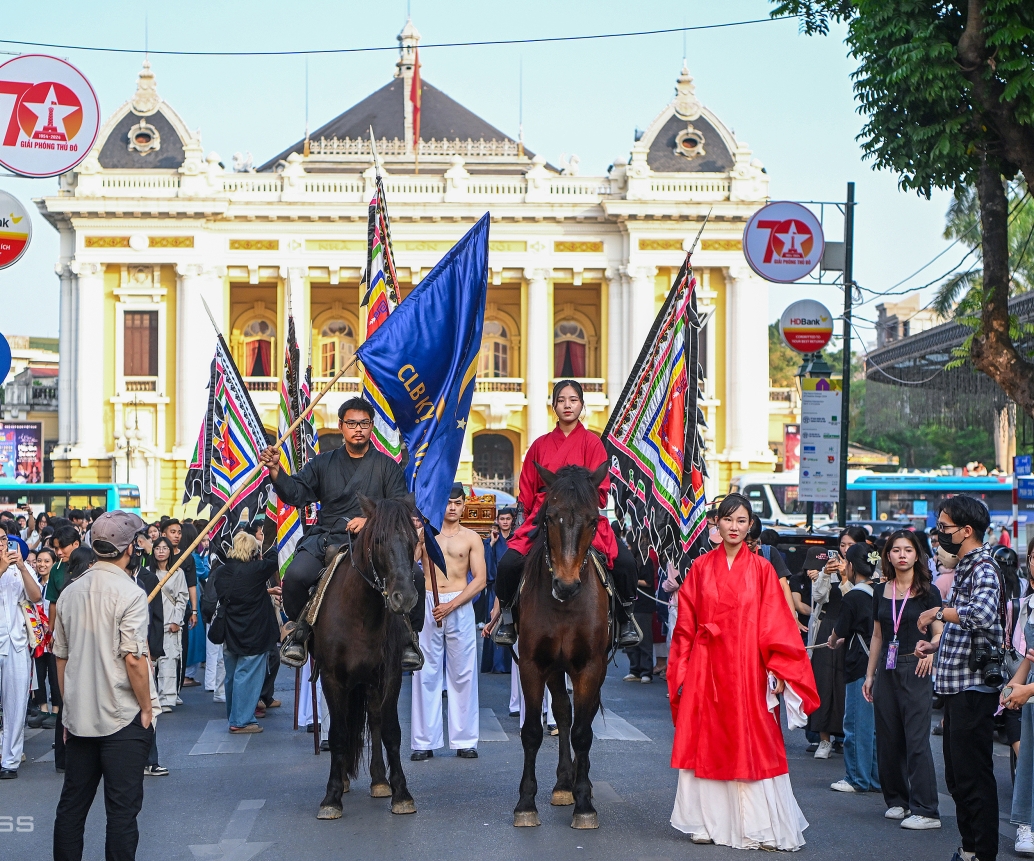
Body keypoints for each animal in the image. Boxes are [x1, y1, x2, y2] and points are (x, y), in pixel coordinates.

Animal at [310, 494, 419, 814]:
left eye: (413, 539)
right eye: (379, 540)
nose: (404, 598)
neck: (361, 615)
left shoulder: (390, 674)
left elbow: (391, 731)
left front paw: (401, 793)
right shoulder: (331, 677)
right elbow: (338, 733)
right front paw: (332, 797)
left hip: (369, 682)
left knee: (375, 720)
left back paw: (380, 781)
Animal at [512, 460, 607, 831]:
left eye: (593, 520)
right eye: (550, 516)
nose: (566, 585)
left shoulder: (590, 666)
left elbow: (583, 733)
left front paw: (585, 804)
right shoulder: (533, 664)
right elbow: (531, 732)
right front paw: (526, 802)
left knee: (582, 718)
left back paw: (583, 784)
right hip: (555, 668)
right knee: (564, 713)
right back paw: (565, 783)